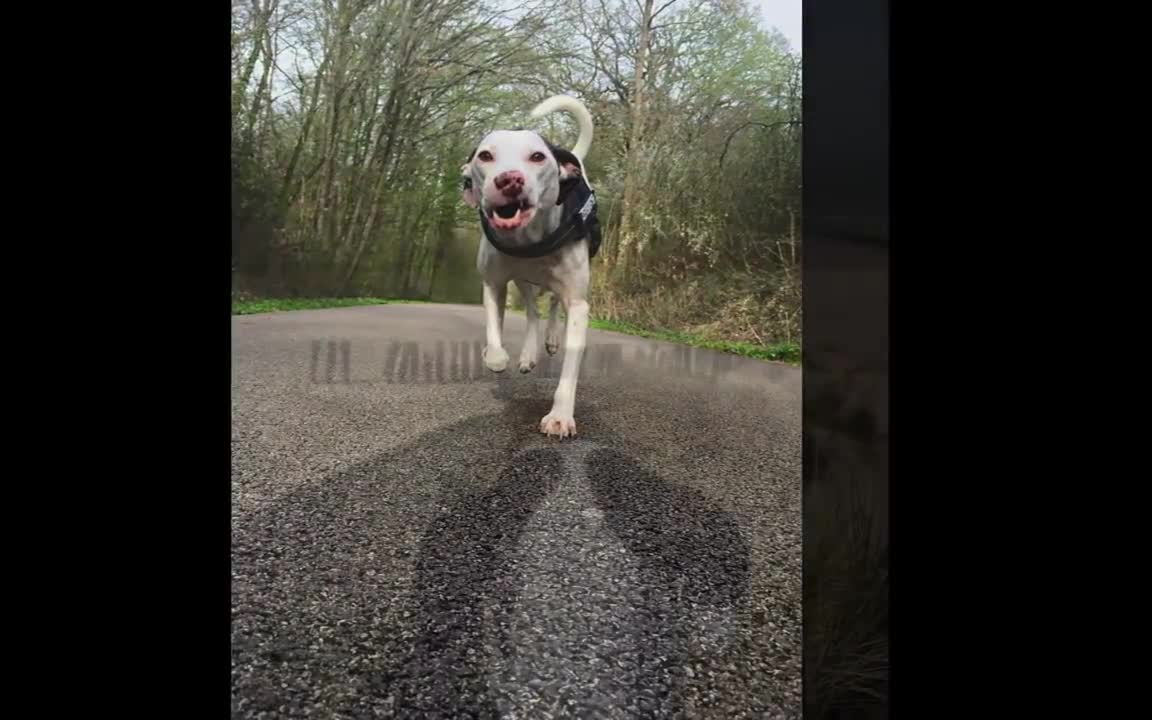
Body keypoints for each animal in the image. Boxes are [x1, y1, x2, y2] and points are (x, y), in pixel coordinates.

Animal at [460, 95, 603, 437]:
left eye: (537, 156)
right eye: (485, 155)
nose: (509, 179)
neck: (530, 238)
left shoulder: (578, 304)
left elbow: (571, 365)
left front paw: (560, 415)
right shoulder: (494, 284)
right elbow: (494, 326)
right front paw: (495, 356)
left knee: (551, 304)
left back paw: (550, 339)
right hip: (524, 282)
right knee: (532, 310)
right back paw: (528, 352)